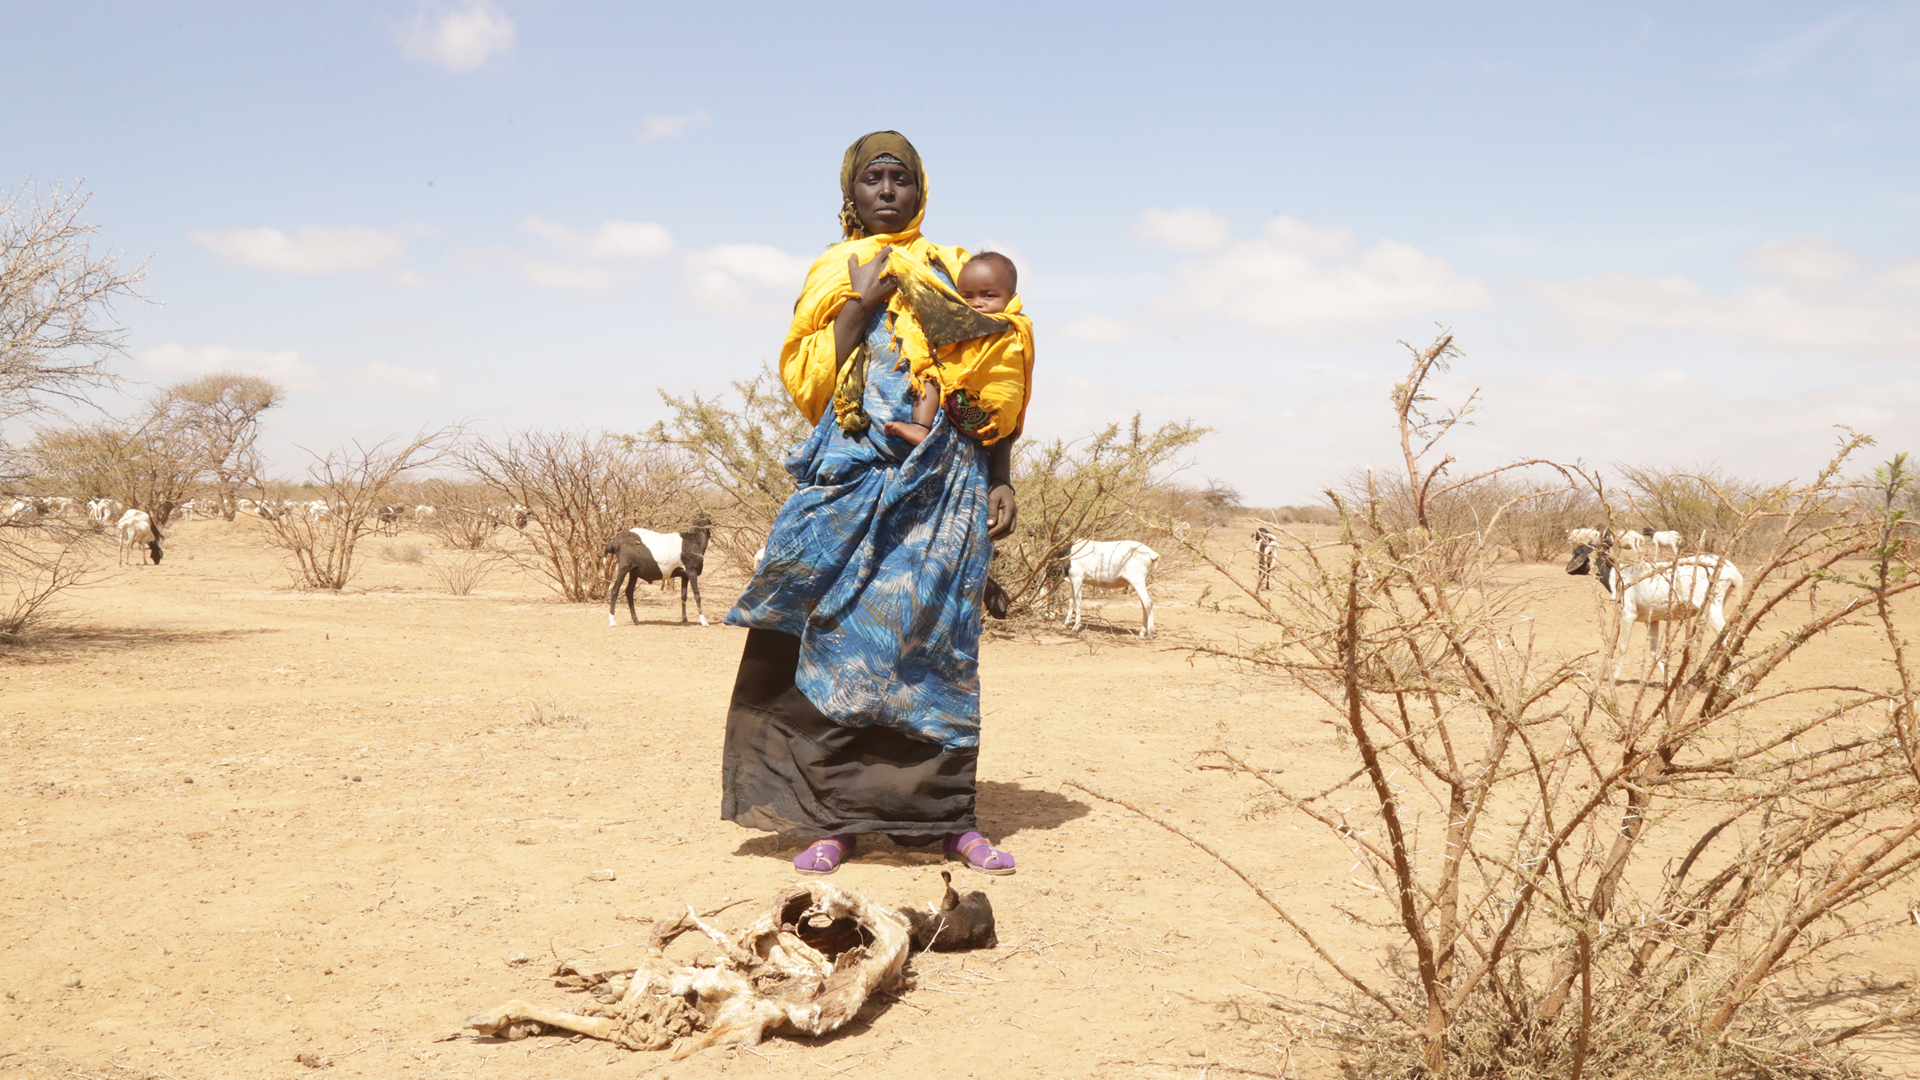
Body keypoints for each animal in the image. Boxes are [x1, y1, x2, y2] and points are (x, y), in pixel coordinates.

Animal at [1574, 538, 1743, 680]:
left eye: (1578, 552)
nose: (1569, 570)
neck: (1617, 575)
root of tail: (1733, 572)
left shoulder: (1628, 615)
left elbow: (1623, 648)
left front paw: (1614, 678)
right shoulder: (1653, 619)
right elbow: (1654, 651)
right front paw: (1669, 680)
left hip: (1712, 608)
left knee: (1728, 640)